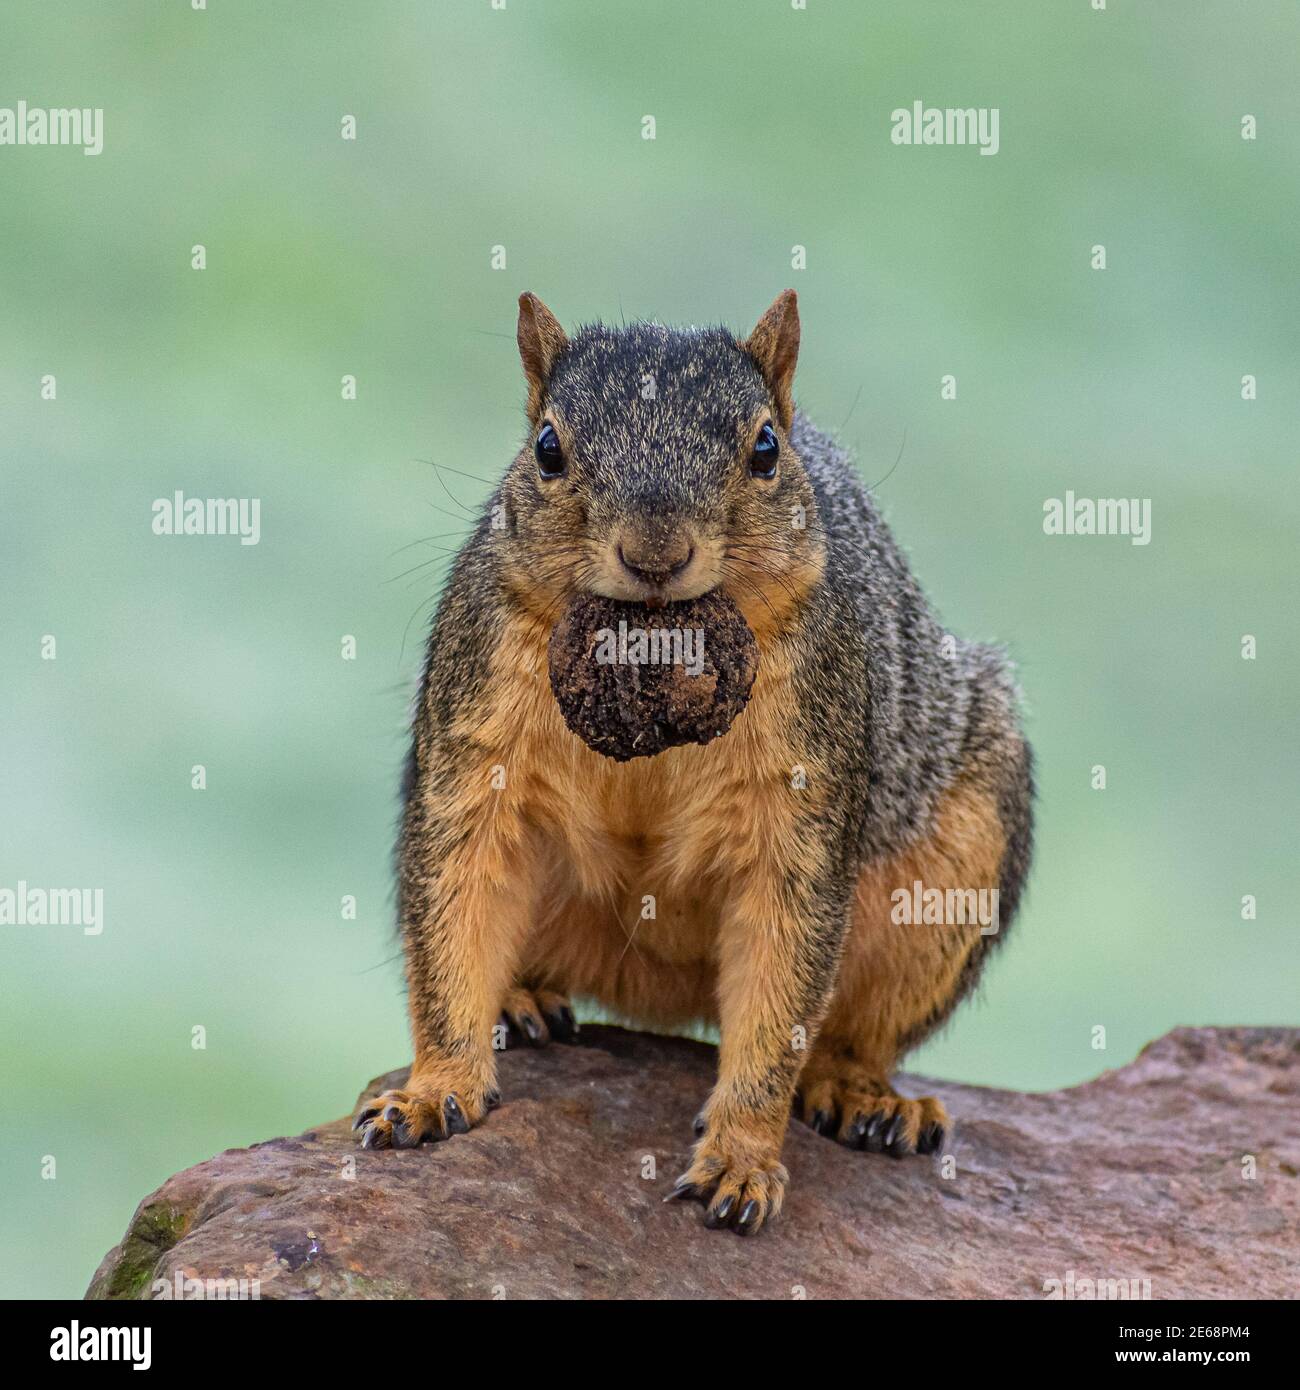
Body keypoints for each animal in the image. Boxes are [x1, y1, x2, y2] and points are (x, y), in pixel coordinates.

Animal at [353, 287, 1034, 1234]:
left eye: (765, 450)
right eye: (547, 449)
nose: (655, 554)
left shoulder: (803, 801)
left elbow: (782, 990)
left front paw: (742, 1160)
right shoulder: (474, 745)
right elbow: (454, 907)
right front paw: (433, 1091)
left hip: (957, 863)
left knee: (855, 1030)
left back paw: (863, 1094)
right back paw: (520, 1003)